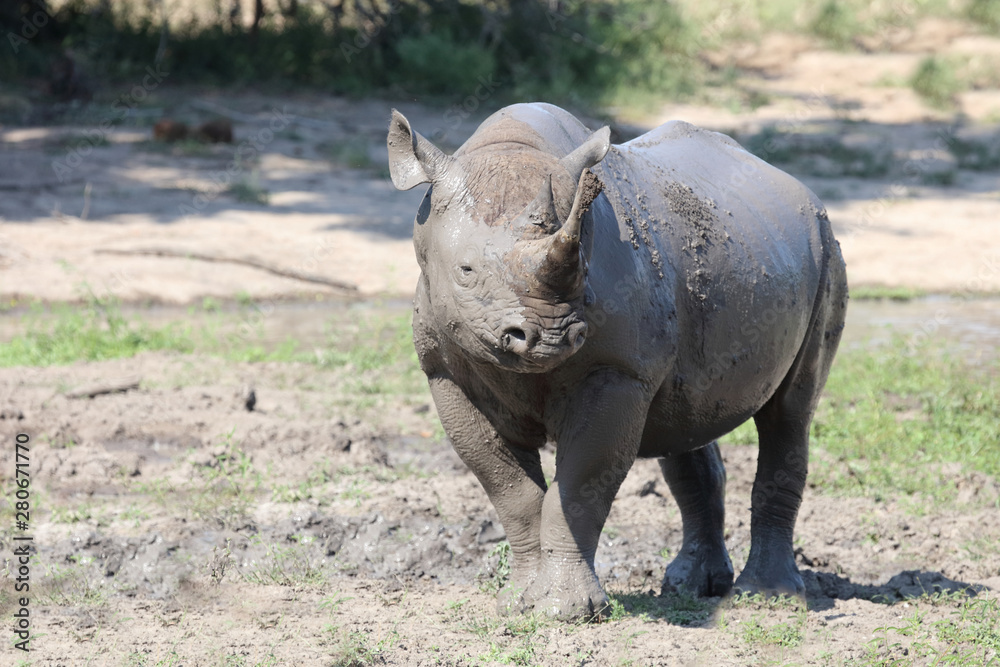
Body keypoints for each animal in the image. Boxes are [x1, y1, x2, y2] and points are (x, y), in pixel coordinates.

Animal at [387, 103, 847, 620]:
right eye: (465, 272)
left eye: (583, 267)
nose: (550, 337)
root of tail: (799, 189)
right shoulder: (444, 371)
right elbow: (509, 488)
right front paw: (517, 602)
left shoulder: (617, 370)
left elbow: (580, 481)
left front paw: (565, 612)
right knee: (686, 422)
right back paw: (692, 587)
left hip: (826, 249)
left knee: (789, 412)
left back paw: (768, 597)